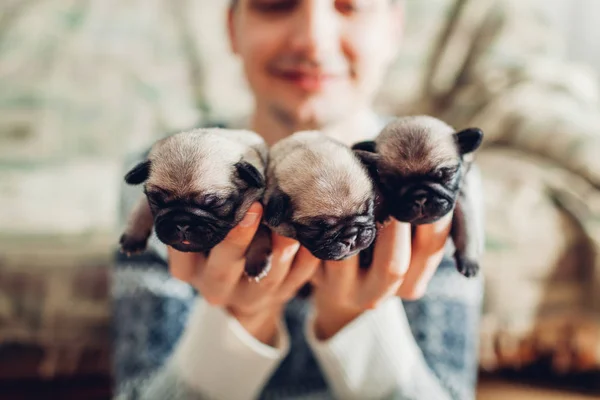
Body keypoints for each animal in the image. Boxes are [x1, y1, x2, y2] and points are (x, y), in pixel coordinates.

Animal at [119, 128, 270, 278]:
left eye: (215, 204)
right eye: (157, 201)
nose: (182, 222)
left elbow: (262, 232)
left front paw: (256, 258)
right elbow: (141, 209)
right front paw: (133, 236)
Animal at [354, 115, 486, 278]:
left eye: (445, 175)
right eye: (392, 183)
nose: (420, 197)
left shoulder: (463, 201)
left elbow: (466, 230)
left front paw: (468, 259)